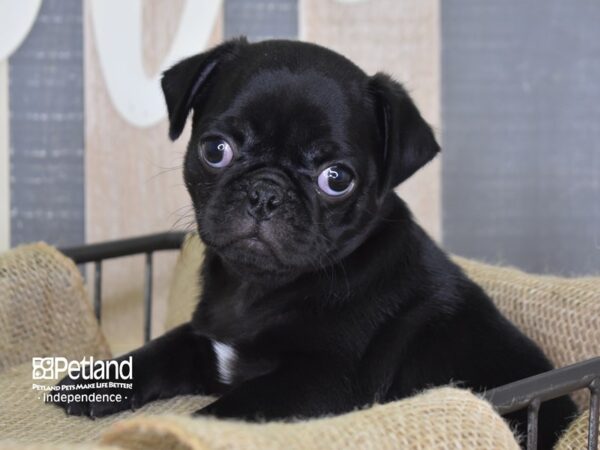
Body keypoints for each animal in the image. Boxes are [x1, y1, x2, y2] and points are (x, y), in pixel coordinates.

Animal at [57, 38, 576, 450]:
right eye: (215, 149)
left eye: (336, 179)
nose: (265, 192)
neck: (257, 290)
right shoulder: (206, 340)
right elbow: (157, 350)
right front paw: (92, 384)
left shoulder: (318, 383)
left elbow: (229, 410)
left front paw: (171, 433)